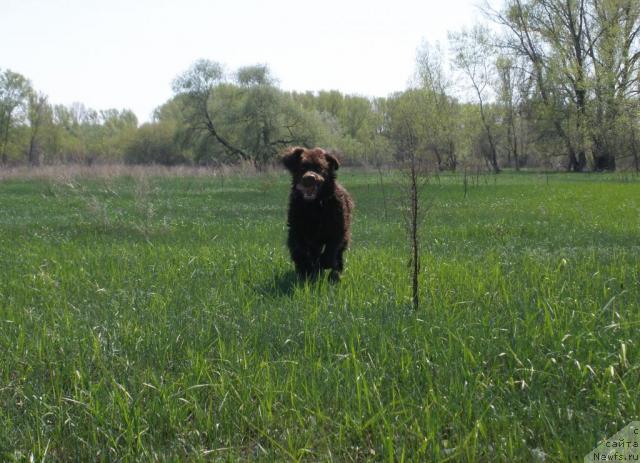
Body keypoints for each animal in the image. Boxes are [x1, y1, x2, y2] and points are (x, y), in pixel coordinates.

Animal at [282, 147, 356, 280]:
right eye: (302, 167)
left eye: (320, 168)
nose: (309, 178)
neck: (314, 206)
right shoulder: (296, 229)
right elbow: (299, 250)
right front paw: (305, 268)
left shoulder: (338, 229)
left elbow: (331, 250)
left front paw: (325, 264)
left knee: (338, 256)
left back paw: (334, 274)